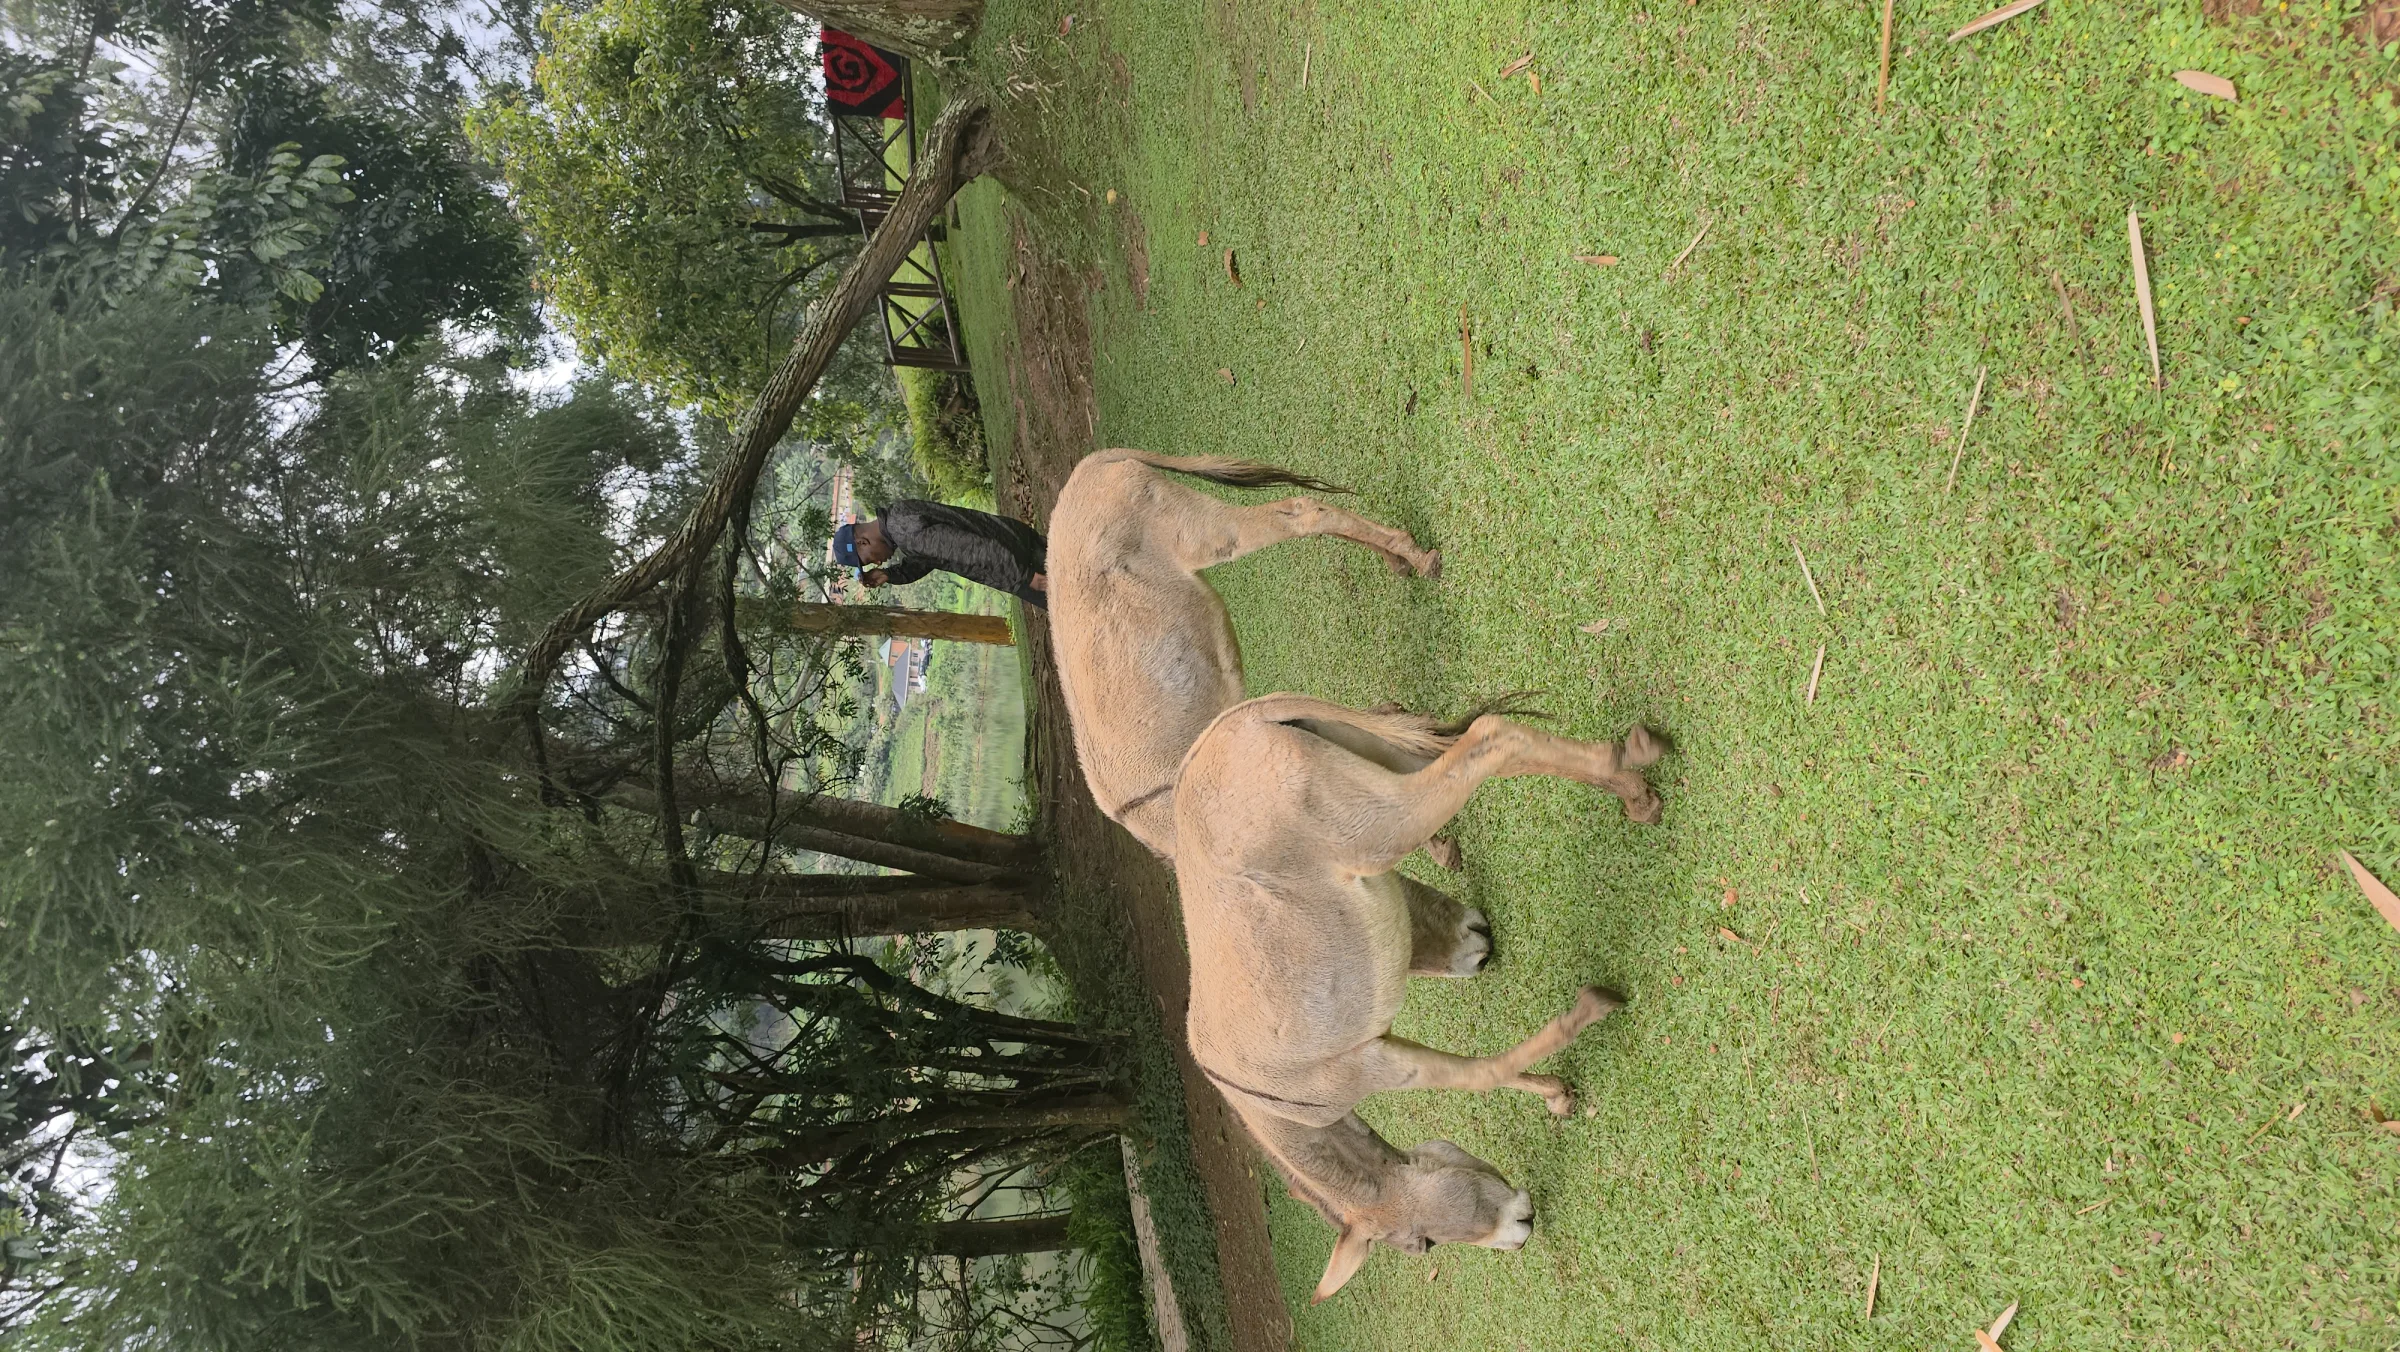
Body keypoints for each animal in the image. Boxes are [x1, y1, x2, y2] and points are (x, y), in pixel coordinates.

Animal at [1171, 693, 1666, 1300]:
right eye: (1426, 1244)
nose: (1522, 1232)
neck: (1269, 1104)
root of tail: (1235, 723)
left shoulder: (1373, 1065)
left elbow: (1482, 1075)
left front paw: (1591, 1012)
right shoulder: (1380, 1044)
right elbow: (1490, 1071)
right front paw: (1557, 1094)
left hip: (1378, 828)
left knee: (1490, 738)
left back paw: (1635, 772)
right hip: (1376, 767)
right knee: (1472, 745)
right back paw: (1637, 786)